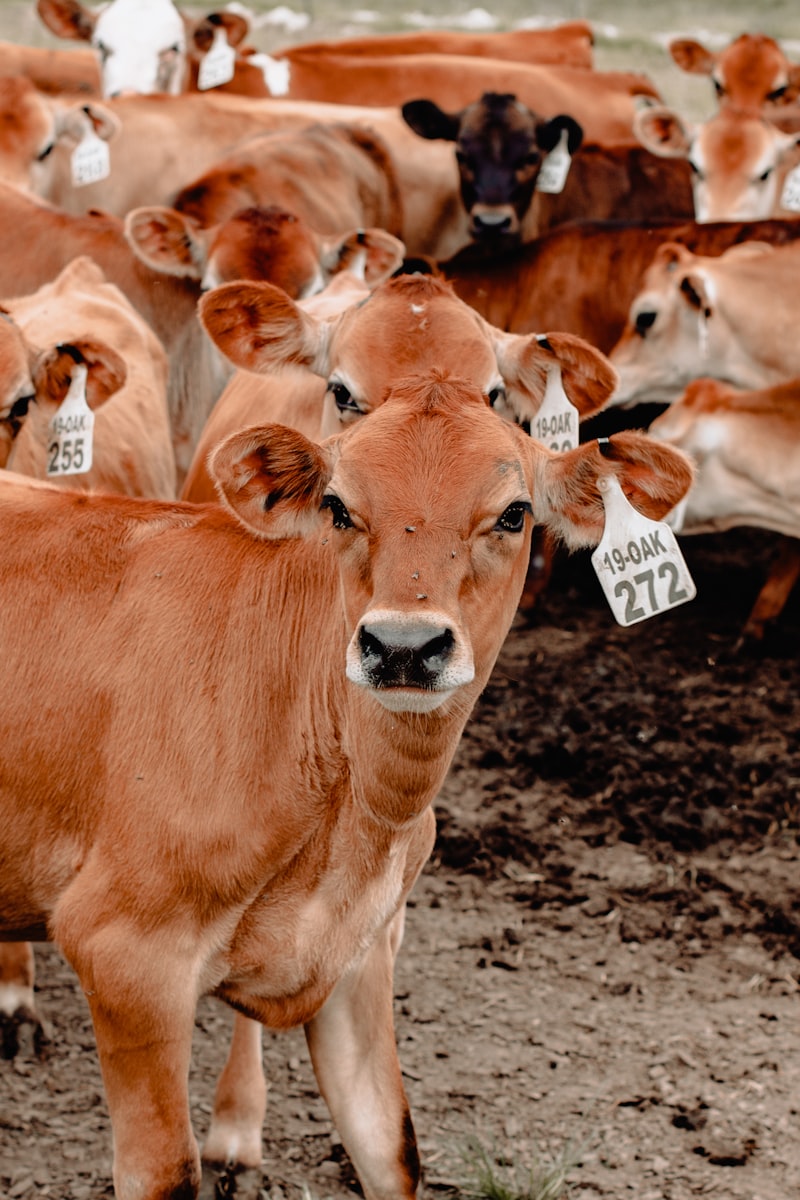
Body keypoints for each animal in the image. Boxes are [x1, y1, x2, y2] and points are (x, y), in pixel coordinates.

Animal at [0, 371, 693, 1200]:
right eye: (337, 507)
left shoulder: (359, 955)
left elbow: (392, 1148)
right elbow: (166, 1172)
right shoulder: (126, 953)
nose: (403, 646)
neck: (349, 813)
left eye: (513, 513)